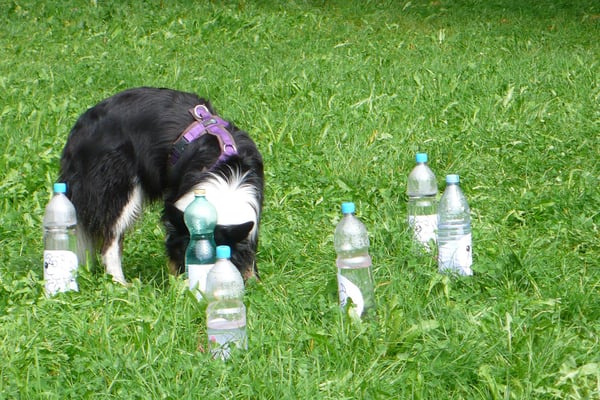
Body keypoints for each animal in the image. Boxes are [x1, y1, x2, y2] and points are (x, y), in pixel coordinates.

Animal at [58, 87, 264, 283]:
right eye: (185, 254)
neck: (228, 178)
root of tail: (82, 124)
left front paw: (253, 280)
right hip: (119, 188)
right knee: (111, 239)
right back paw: (119, 282)